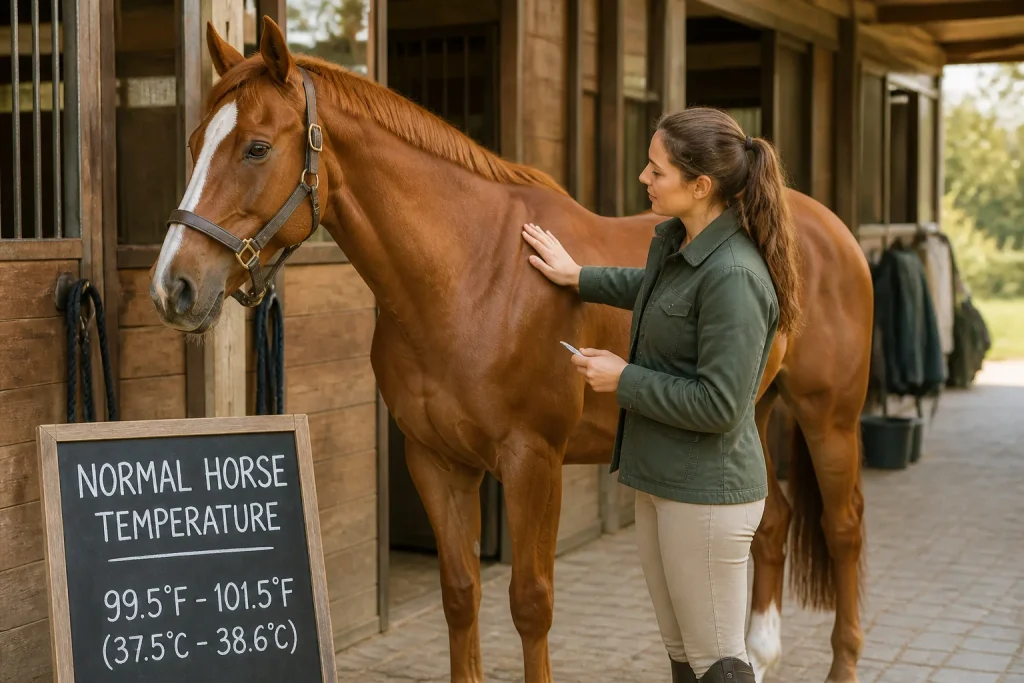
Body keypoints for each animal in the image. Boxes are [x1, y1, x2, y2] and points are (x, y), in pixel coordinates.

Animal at [148, 17, 872, 683]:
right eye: (193, 143)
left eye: (256, 148)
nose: (173, 287)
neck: (471, 276)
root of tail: (827, 229)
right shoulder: (436, 460)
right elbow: (461, 592)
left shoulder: (533, 461)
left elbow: (529, 602)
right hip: (750, 411)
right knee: (770, 519)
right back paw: (761, 652)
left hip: (827, 418)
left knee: (843, 530)